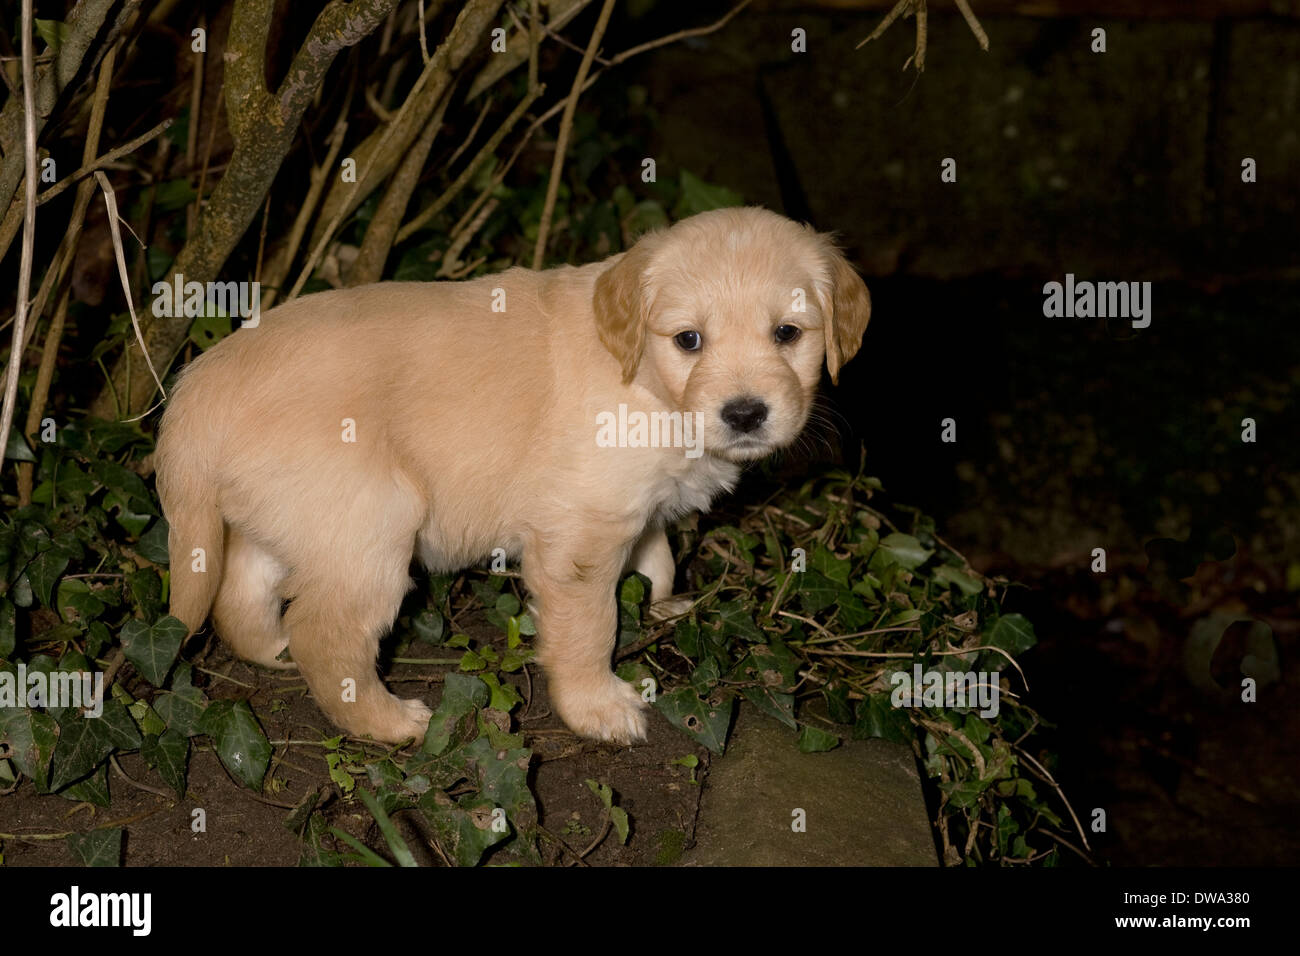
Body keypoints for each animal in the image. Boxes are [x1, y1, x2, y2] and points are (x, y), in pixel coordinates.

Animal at [152, 209, 868, 749]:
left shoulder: (635, 507)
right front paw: (597, 707)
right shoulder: (581, 533)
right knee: (326, 636)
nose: (745, 413)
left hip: (289, 516)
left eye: (788, 333)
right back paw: (390, 723)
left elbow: (658, 558)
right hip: (369, 525)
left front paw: (665, 604)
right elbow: (591, 626)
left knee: (241, 590)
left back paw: (269, 647)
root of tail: (197, 390)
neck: (647, 383)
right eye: (689, 340)